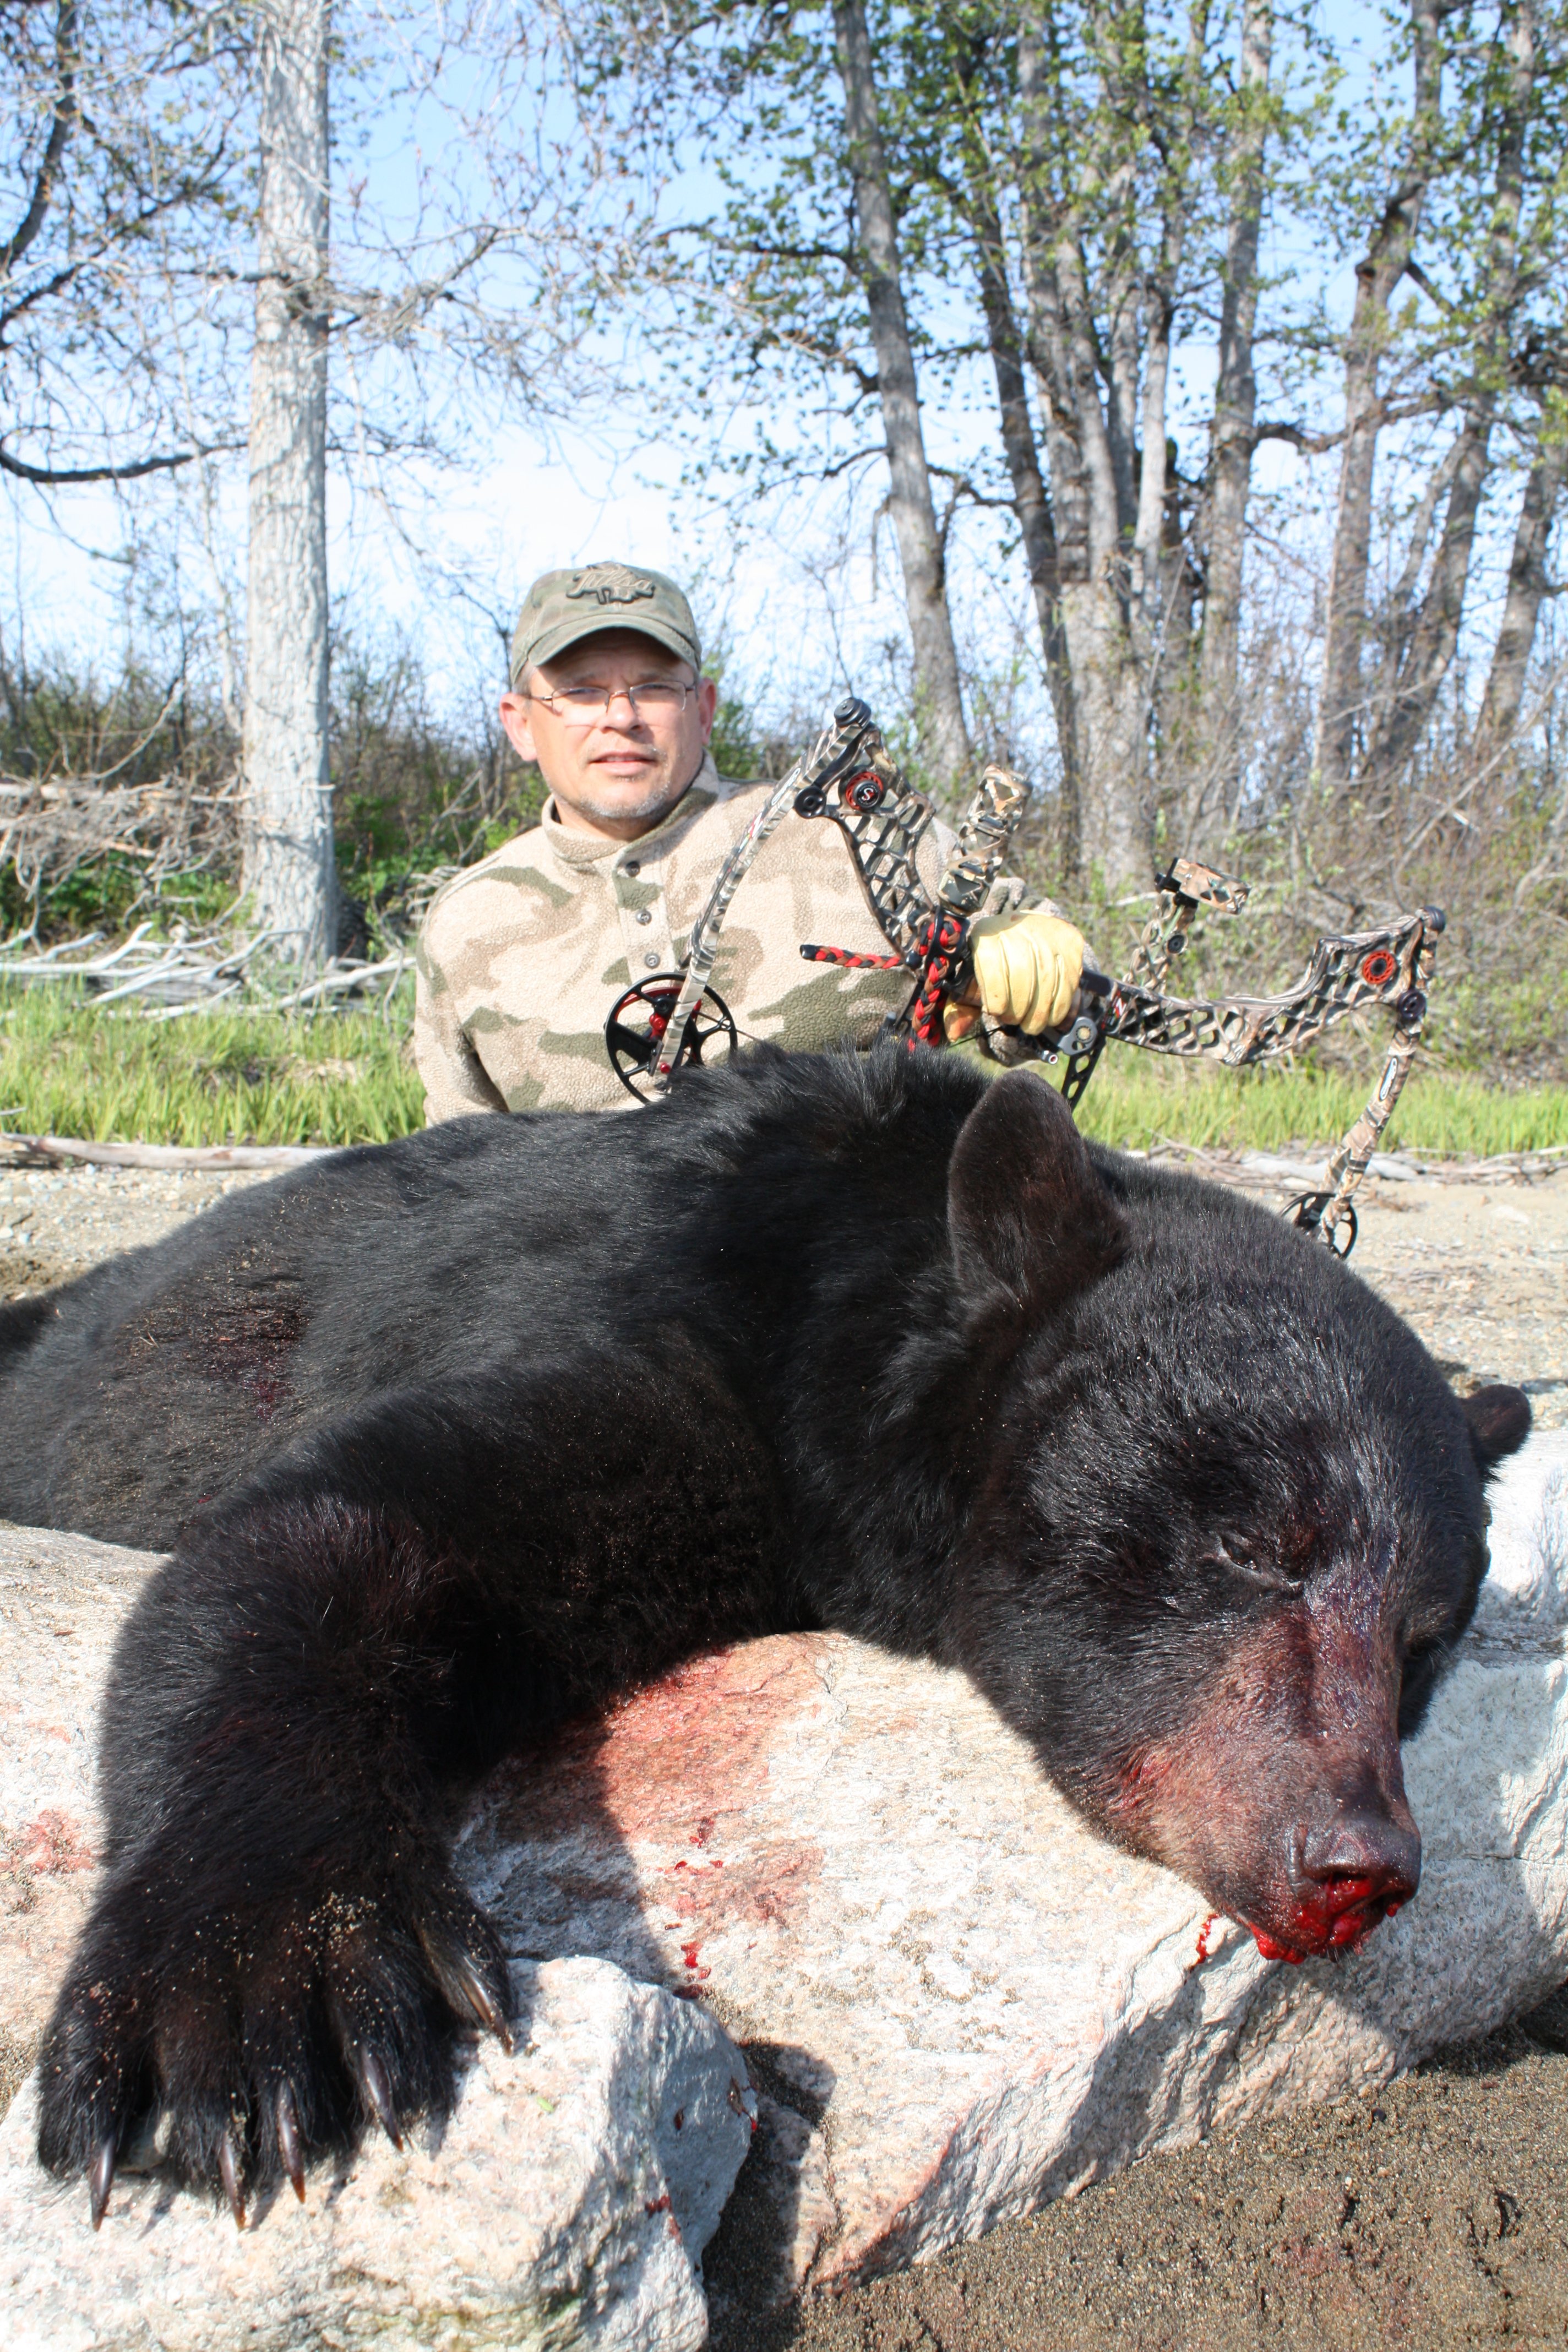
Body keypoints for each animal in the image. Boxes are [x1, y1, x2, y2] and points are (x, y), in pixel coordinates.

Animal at [0, 1043, 1529, 2229]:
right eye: (1255, 1544)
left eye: (1425, 1640)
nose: (1355, 1861)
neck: (846, 1290)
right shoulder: (670, 1324)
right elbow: (338, 1523)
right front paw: (262, 1982)